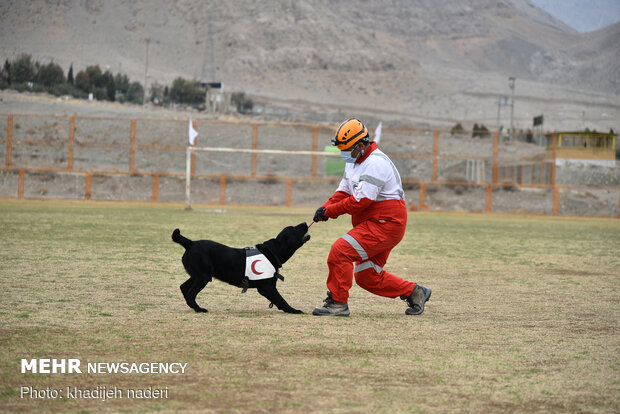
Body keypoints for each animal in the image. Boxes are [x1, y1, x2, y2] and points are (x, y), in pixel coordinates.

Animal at [172, 223, 310, 314]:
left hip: (198, 275)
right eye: (294, 228)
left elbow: (277, 300)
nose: (305, 222)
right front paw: (293, 310)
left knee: (183, 287)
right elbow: (281, 299)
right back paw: (199, 309)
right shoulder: (266, 287)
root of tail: (190, 243)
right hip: (203, 277)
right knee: (190, 293)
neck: (273, 251)